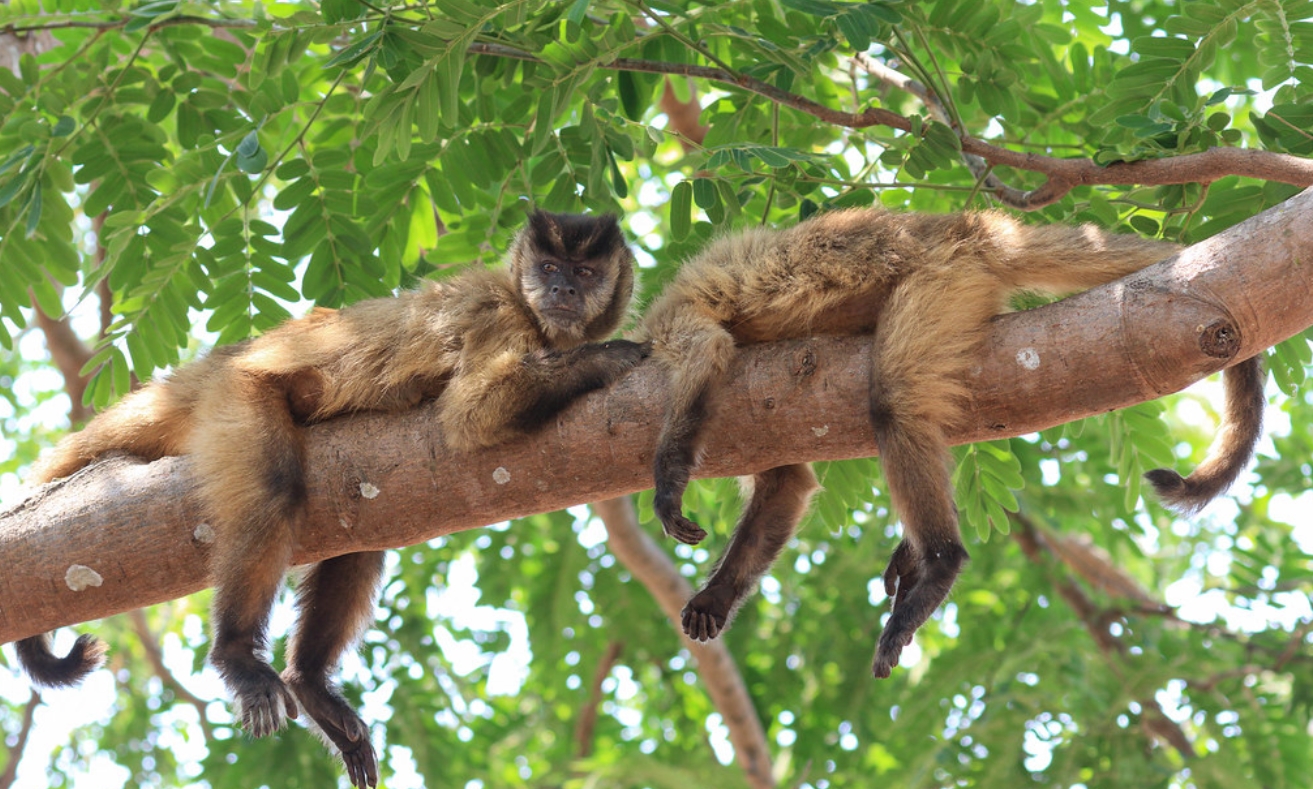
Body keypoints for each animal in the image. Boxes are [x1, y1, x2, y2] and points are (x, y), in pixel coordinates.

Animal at [11, 207, 645, 782]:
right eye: (548, 266)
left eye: (585, 272)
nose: (562, 289)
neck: (535, 317)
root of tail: (216, 364)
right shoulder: (498, 313)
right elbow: (473, 415)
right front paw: (604, 358)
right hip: (236, 394)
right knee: (274, 490)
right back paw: (237, 654)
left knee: (365, 533)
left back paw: (309, 682)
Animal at [640, 207, 1265, 677]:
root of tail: (969, 225)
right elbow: (785, 484)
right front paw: (717, 596)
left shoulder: (670, 318)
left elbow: (706, 353)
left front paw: (667, 486)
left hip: (939, 278)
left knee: (894, 399)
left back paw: (940, 563)